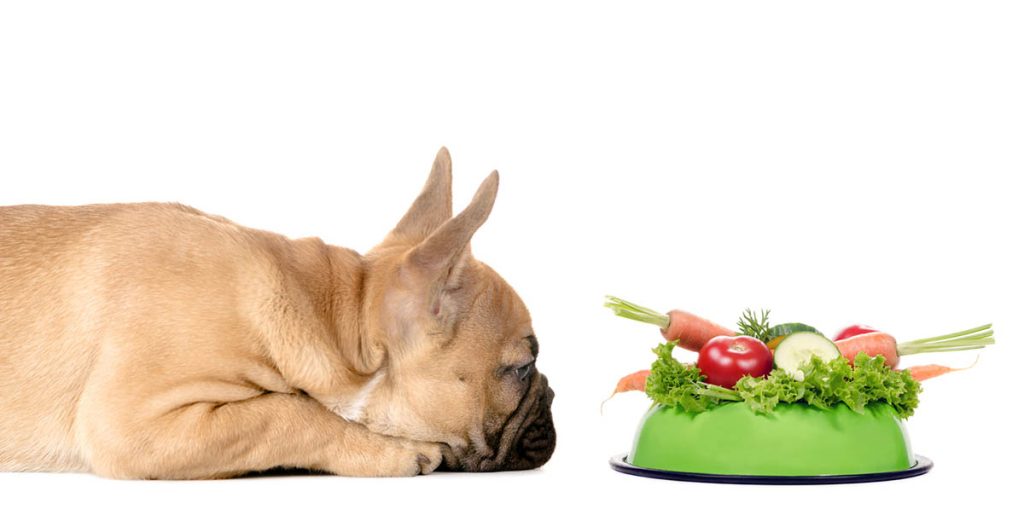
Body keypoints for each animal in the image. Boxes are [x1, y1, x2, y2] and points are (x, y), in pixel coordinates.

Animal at [0, 149, 557, 479]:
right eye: (522, 367)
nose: (551, 395)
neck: (329, 315)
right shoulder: (131, 423)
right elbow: (284, 413)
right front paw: (391, 451)